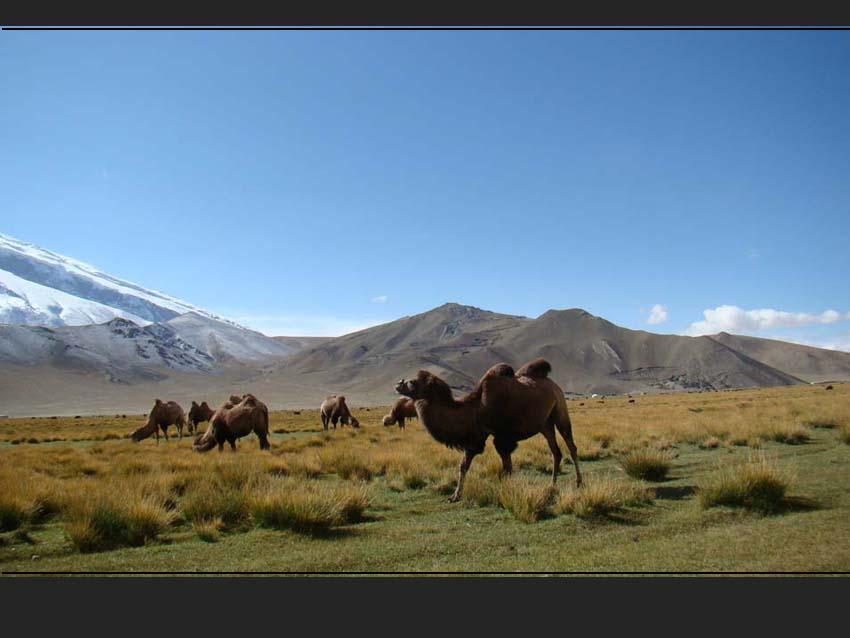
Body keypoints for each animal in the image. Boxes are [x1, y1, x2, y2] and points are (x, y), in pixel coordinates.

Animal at [394, 360, 580, 504]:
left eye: (412, 382)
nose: (398, 384)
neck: (476, 409)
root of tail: (554, 385)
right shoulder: (476, 439)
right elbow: (464, 465)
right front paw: (454, 496)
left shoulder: (501, 437)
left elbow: (506, 467)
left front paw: (507, 492)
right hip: (545, 424)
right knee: (555, 451)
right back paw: (552, 485)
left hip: (560, 411)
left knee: (571, 445)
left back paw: (579, 482)